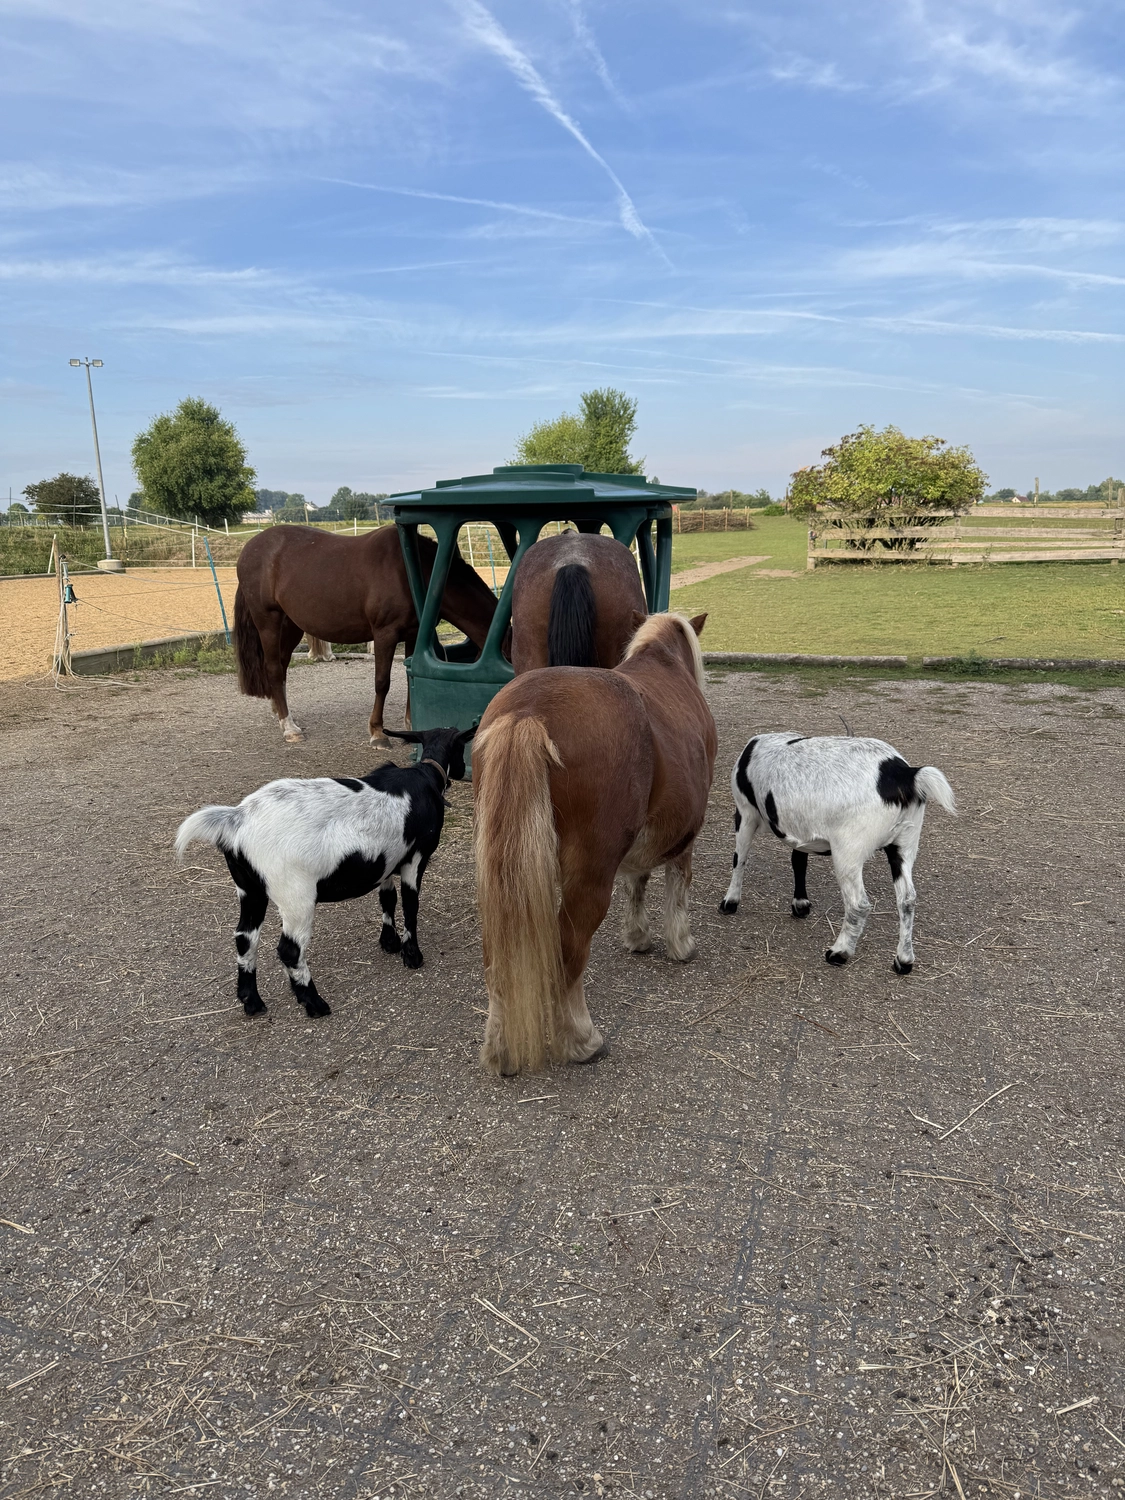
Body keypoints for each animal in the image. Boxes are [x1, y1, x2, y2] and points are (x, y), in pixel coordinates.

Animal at [233, 525, 497, 744]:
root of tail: (249, 548)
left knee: (282, 665)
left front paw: (411, 725)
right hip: (268, 621)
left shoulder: (414, 635)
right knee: (273, 669)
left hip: (291, 625)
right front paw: (378, 732)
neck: (410, 571)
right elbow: (382, 682)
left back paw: (281, 713)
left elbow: (411, 677)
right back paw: (289, 728)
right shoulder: (384, 634)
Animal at [472, 613, 716, 1075]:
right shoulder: (685, 837)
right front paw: (680, 944)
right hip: (589, 872)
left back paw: (501, 1050)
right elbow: (677, 887)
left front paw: (638, 937)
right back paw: (581, 1041)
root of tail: (526, 712)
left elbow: (637, 882)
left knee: (498, 956)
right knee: (570, 951)